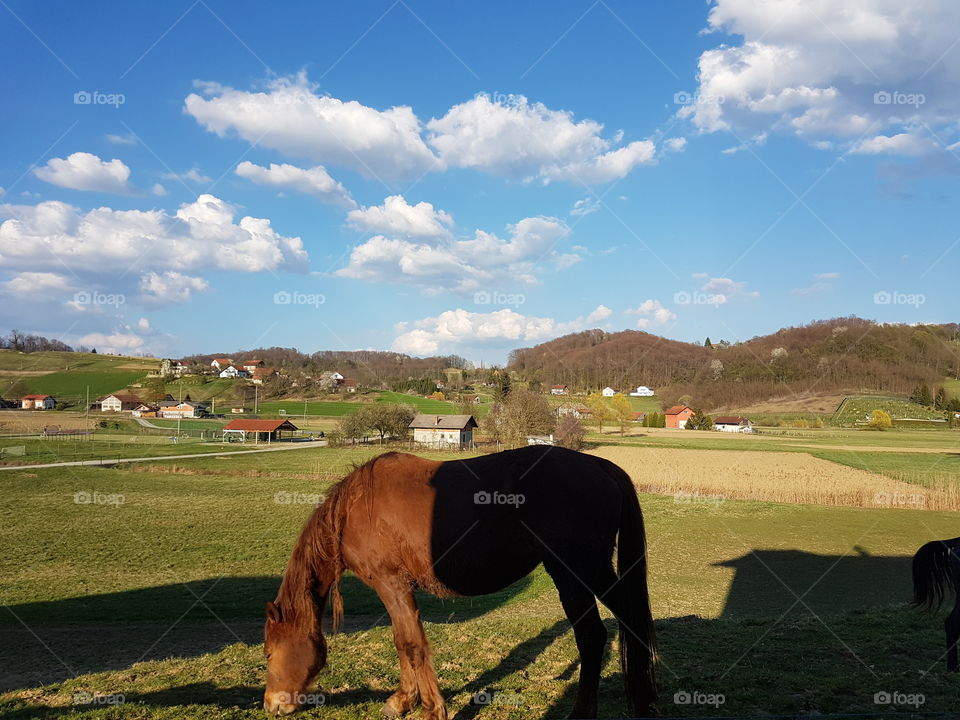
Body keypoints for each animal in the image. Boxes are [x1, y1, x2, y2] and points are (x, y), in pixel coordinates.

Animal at [260, 448, 660, 716]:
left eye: (267, 653)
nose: (271, 705)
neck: (354, 509)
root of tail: (599, 466)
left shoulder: (392, 585)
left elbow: (411, 644)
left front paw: (432, 709)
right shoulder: (394, 590)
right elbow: (402, 642)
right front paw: (402, 700)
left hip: (574, 576)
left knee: (592, 638)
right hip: (598, 573)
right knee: (632, 624)